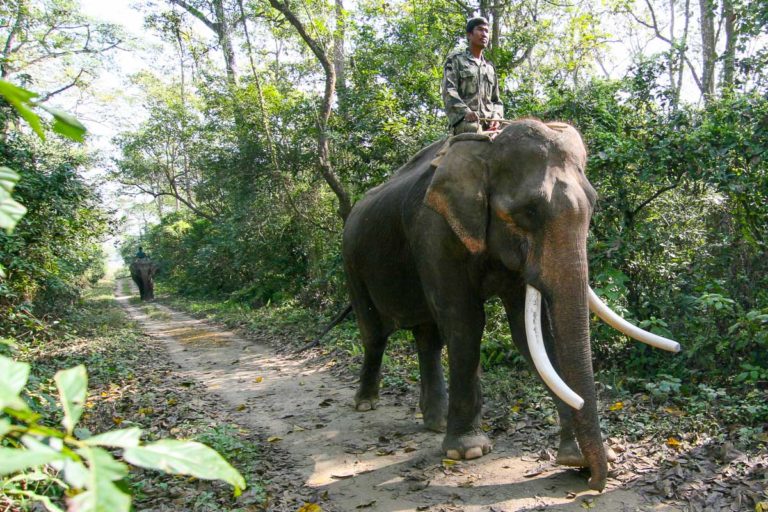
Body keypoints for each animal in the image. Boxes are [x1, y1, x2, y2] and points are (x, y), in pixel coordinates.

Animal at [342, 119, 680, 492]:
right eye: (527, 211)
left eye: (593, 204)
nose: (594, 482)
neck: (486, 149)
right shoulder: (434, 233)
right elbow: (465, 324)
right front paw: (468, 451)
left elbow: (530, 333)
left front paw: (574, 458)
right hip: (351, 262)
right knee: (375, 333)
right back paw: (367, 403)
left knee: (427, 336)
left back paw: (434, 421)